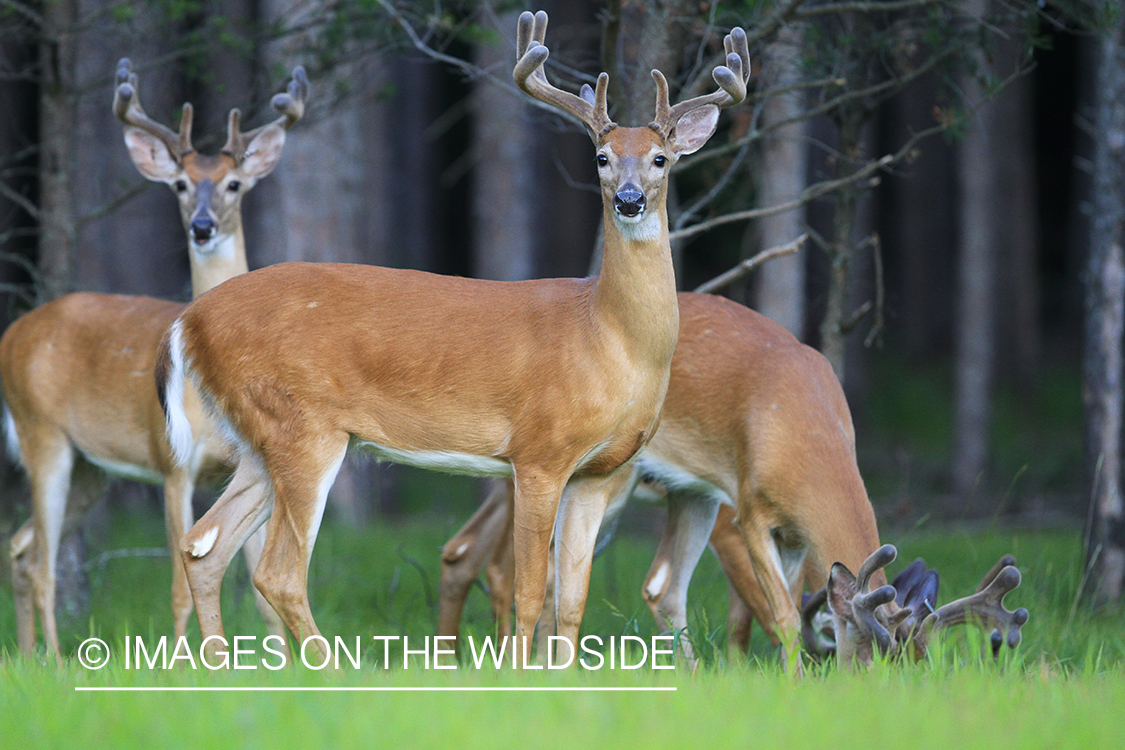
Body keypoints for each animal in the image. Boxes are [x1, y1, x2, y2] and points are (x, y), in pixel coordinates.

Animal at [0, 60, 308, 656]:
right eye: (181, 185)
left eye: (234, 184)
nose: (202, 226)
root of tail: (15, 330)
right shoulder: (173, 463)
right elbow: (180, 585)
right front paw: (186, 665)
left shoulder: (242, 462)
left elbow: (258, 590)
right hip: (41, 433)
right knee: (43, 564)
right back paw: (56, 660)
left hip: (91, 465)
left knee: (22, 550)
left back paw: (29, 655)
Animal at [151, 8, 747, 661]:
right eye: (601, 156)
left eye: (661, 158)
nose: (630, 200)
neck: (609, 339)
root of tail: (187, 320)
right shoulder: (539, 452)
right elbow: (531, 593)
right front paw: (520, 674)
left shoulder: (599, 472)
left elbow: (572, 602)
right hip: (300, 426)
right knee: (278, 571)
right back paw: (330, 671)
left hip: (259, 438)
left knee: (203, 546)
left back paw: (216, 666)